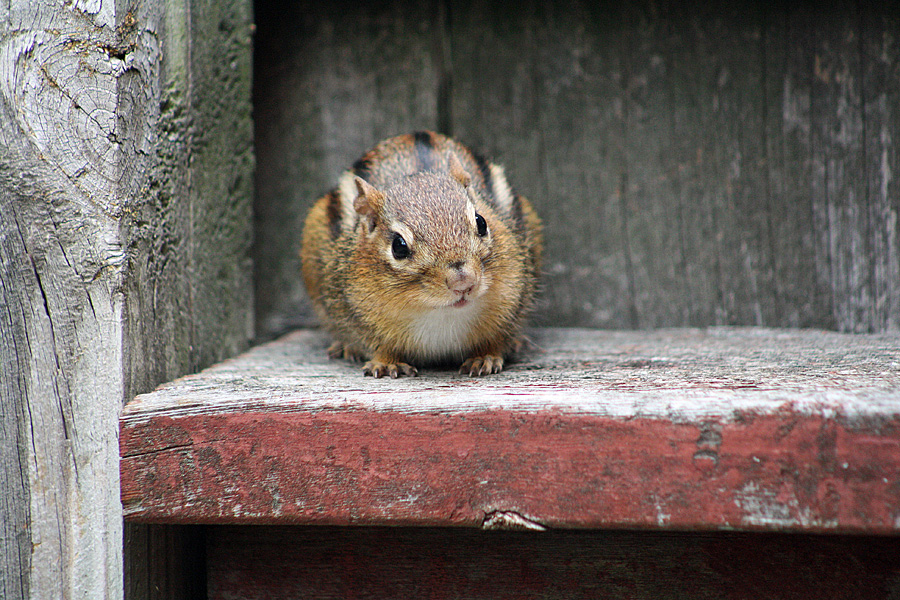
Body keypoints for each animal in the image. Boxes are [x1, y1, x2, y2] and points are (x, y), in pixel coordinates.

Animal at [300, 131, 542, 378]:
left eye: (481, 222)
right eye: (398, 246)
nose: (463, 282)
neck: (440, 316)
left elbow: (496, 338)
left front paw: (485, 357)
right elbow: (377, 345)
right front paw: (386, 363)